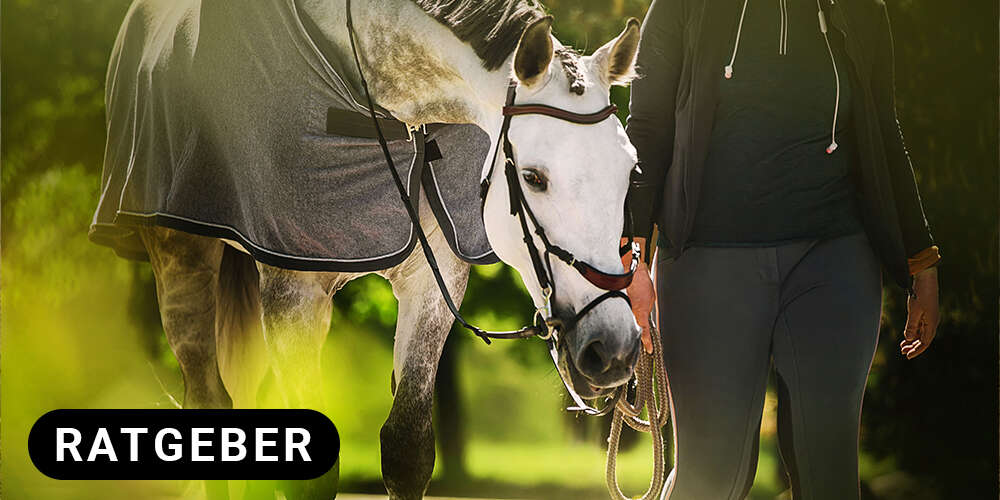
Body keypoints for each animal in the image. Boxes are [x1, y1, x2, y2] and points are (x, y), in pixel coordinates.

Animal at [96, 0, 643, 498]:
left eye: (630, 171)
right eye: (532, 177)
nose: (613, 347)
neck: (390, 106)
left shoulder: (433, 282)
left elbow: (406, 450)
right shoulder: (293, 290)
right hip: (181, 261)